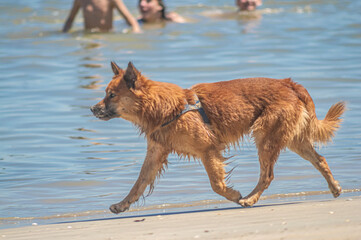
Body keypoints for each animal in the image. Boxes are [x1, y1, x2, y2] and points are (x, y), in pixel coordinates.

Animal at [90, 62, 344, 214]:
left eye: (111, 95)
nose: (92, 108)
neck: (166, 108)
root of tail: (289, 84)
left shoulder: (208, 149)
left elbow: (216, 184)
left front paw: (233, 195)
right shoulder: (155, 153)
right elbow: (139, 183)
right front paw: (122, 204)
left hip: (265, 136)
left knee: (268, 175)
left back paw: (250, 199)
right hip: (292, 139)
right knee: (320, 160)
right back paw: (334, 188)